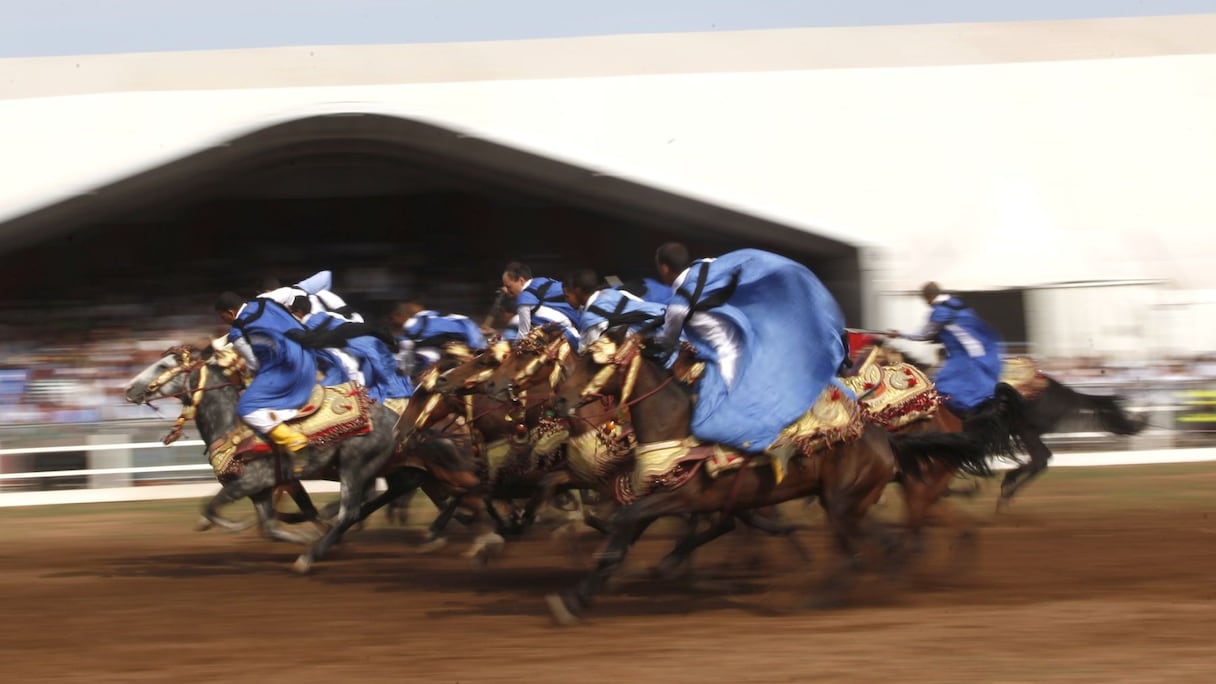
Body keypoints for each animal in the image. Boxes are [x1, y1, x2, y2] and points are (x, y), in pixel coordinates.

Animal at [125, 340, 408, 569]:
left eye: (162, 366)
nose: (128, 389)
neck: (231, 426)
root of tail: (394, 417)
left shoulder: (250, 482)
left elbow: (210, 507)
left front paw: (231, 525)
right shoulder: (261, 490)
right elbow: (269, 528)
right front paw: (303, 535)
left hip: (354, 464)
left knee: (350, 512)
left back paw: (308, 558)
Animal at [547, 328, 992, 620]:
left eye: (596, 361)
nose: (561, 401)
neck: (678, 425)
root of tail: (884, 438)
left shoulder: (685, 496)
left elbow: (628, 524)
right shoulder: (659, 494)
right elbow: (622, 535)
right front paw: (579, 597)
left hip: (848, 502)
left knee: (861, 554)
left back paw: (818, 601)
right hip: (851, 503)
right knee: (887, 543)